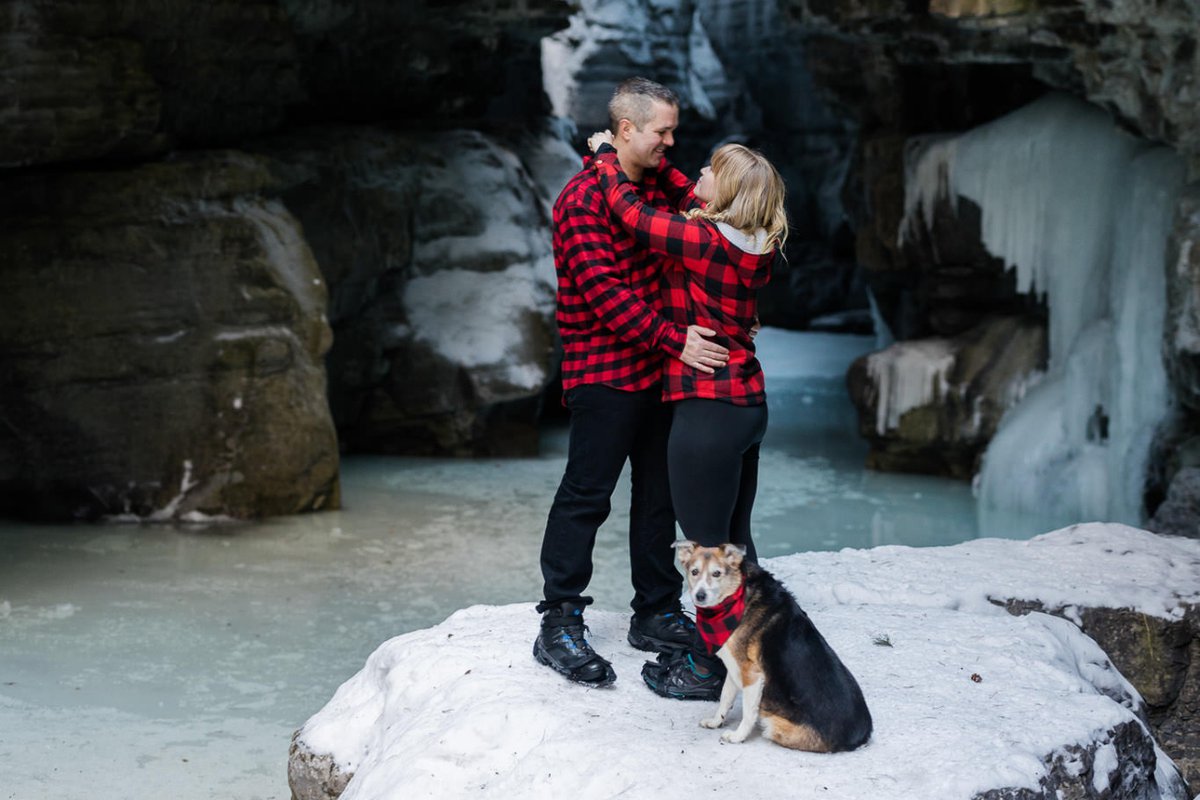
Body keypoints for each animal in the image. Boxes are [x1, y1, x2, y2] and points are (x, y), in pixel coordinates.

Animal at [676, 542, 873, 753]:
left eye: (717, 573)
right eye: (694, 572)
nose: (700, 595)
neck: (737, 595)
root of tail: (858, 738)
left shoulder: (751, 674)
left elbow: (748, 711)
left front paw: (738, 736)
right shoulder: (734, 667)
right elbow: (725, 697)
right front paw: (716, 722)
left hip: (773, 724)